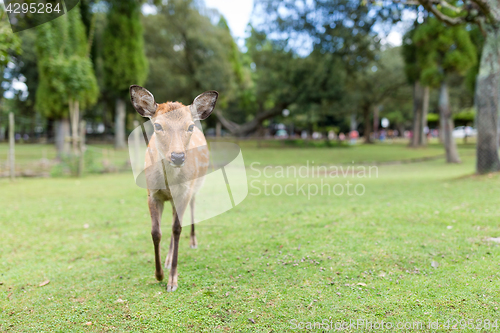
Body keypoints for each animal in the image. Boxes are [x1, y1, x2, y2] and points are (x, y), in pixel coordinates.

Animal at [129, 85, 217, 290]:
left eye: (190, 126)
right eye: (158, 126)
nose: (177, 156)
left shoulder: (184, 191)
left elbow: (177, 229)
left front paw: (172, 280)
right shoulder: (152, 194)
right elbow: (155, 232)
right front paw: (159, 274)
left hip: (195, 185)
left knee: (191, 209)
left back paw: (192, 242)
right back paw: (168, 260)